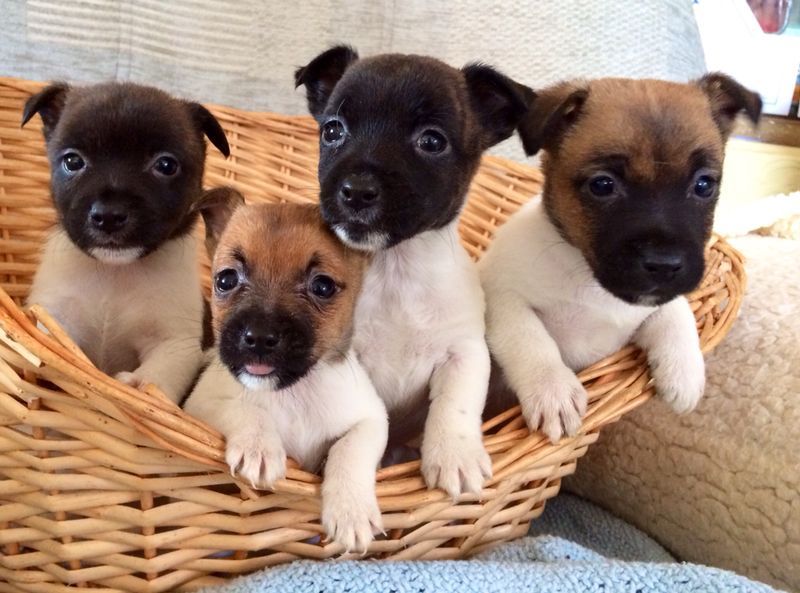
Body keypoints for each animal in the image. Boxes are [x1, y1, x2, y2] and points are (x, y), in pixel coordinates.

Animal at [185, 192, 390, 552]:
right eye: (226, 280)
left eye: (322, 286)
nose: (258, 337)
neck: (293, 393)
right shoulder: (198, 407)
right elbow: (245, 408)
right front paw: (259, 448)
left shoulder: (373, 418)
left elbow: (350, 448)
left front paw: (351, 510)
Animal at [296, 45, 536, 494]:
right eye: (333, 131)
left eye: (431, 141)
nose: (356, 190)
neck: (396, 268)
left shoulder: (464, 353)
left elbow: (455, 405)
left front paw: (454, 455)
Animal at [478, 73, 760, 440]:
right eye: (602, 185)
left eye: (703, 185)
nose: (664, 265)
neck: (589, 281)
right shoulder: (503, 299)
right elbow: (530, 340)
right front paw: (553, 391)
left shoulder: (646, 310)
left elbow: (675, 313)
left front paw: (684, 370)